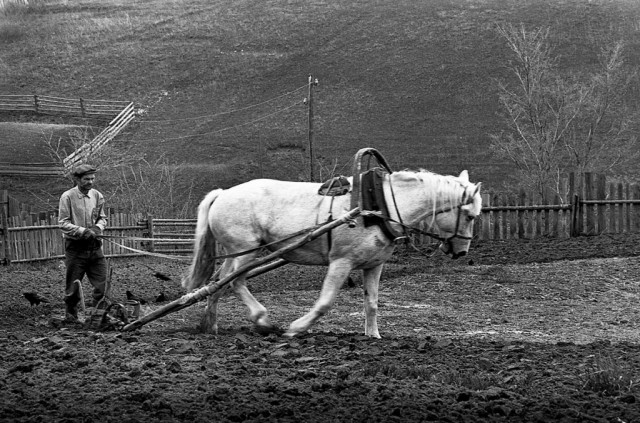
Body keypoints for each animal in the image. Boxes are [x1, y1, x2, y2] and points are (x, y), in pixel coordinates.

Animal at [180, 169, 480, 338]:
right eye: (468, 215)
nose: (462, 251)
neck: (378, 208)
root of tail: (222, 194)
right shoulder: (341, 262)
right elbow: (325, 302)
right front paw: (297, 328)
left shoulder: (374, 265)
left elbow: (372, 303)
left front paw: (374, 336)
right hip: (244, 251)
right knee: (237, 282)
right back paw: (262, 318)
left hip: (236, 253)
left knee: (218, 283)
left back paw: (210, 325)